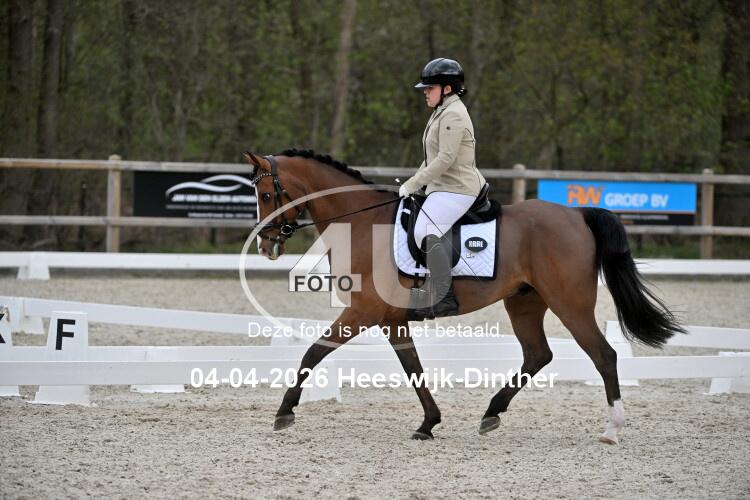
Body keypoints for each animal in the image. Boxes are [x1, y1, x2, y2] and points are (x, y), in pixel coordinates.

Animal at [243, 148, 684, 444]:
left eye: (265, 196)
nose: (265, 246)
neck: (363, 223)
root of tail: (576, 214)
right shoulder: (391, 318)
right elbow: (413, 368)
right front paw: (428, 423)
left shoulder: (363, 311)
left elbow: (313, 352)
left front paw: (284, 413)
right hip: (524, 302)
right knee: (538, 355)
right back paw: (491, 414)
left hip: (570, 304)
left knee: (603, 355)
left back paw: (612, 429)